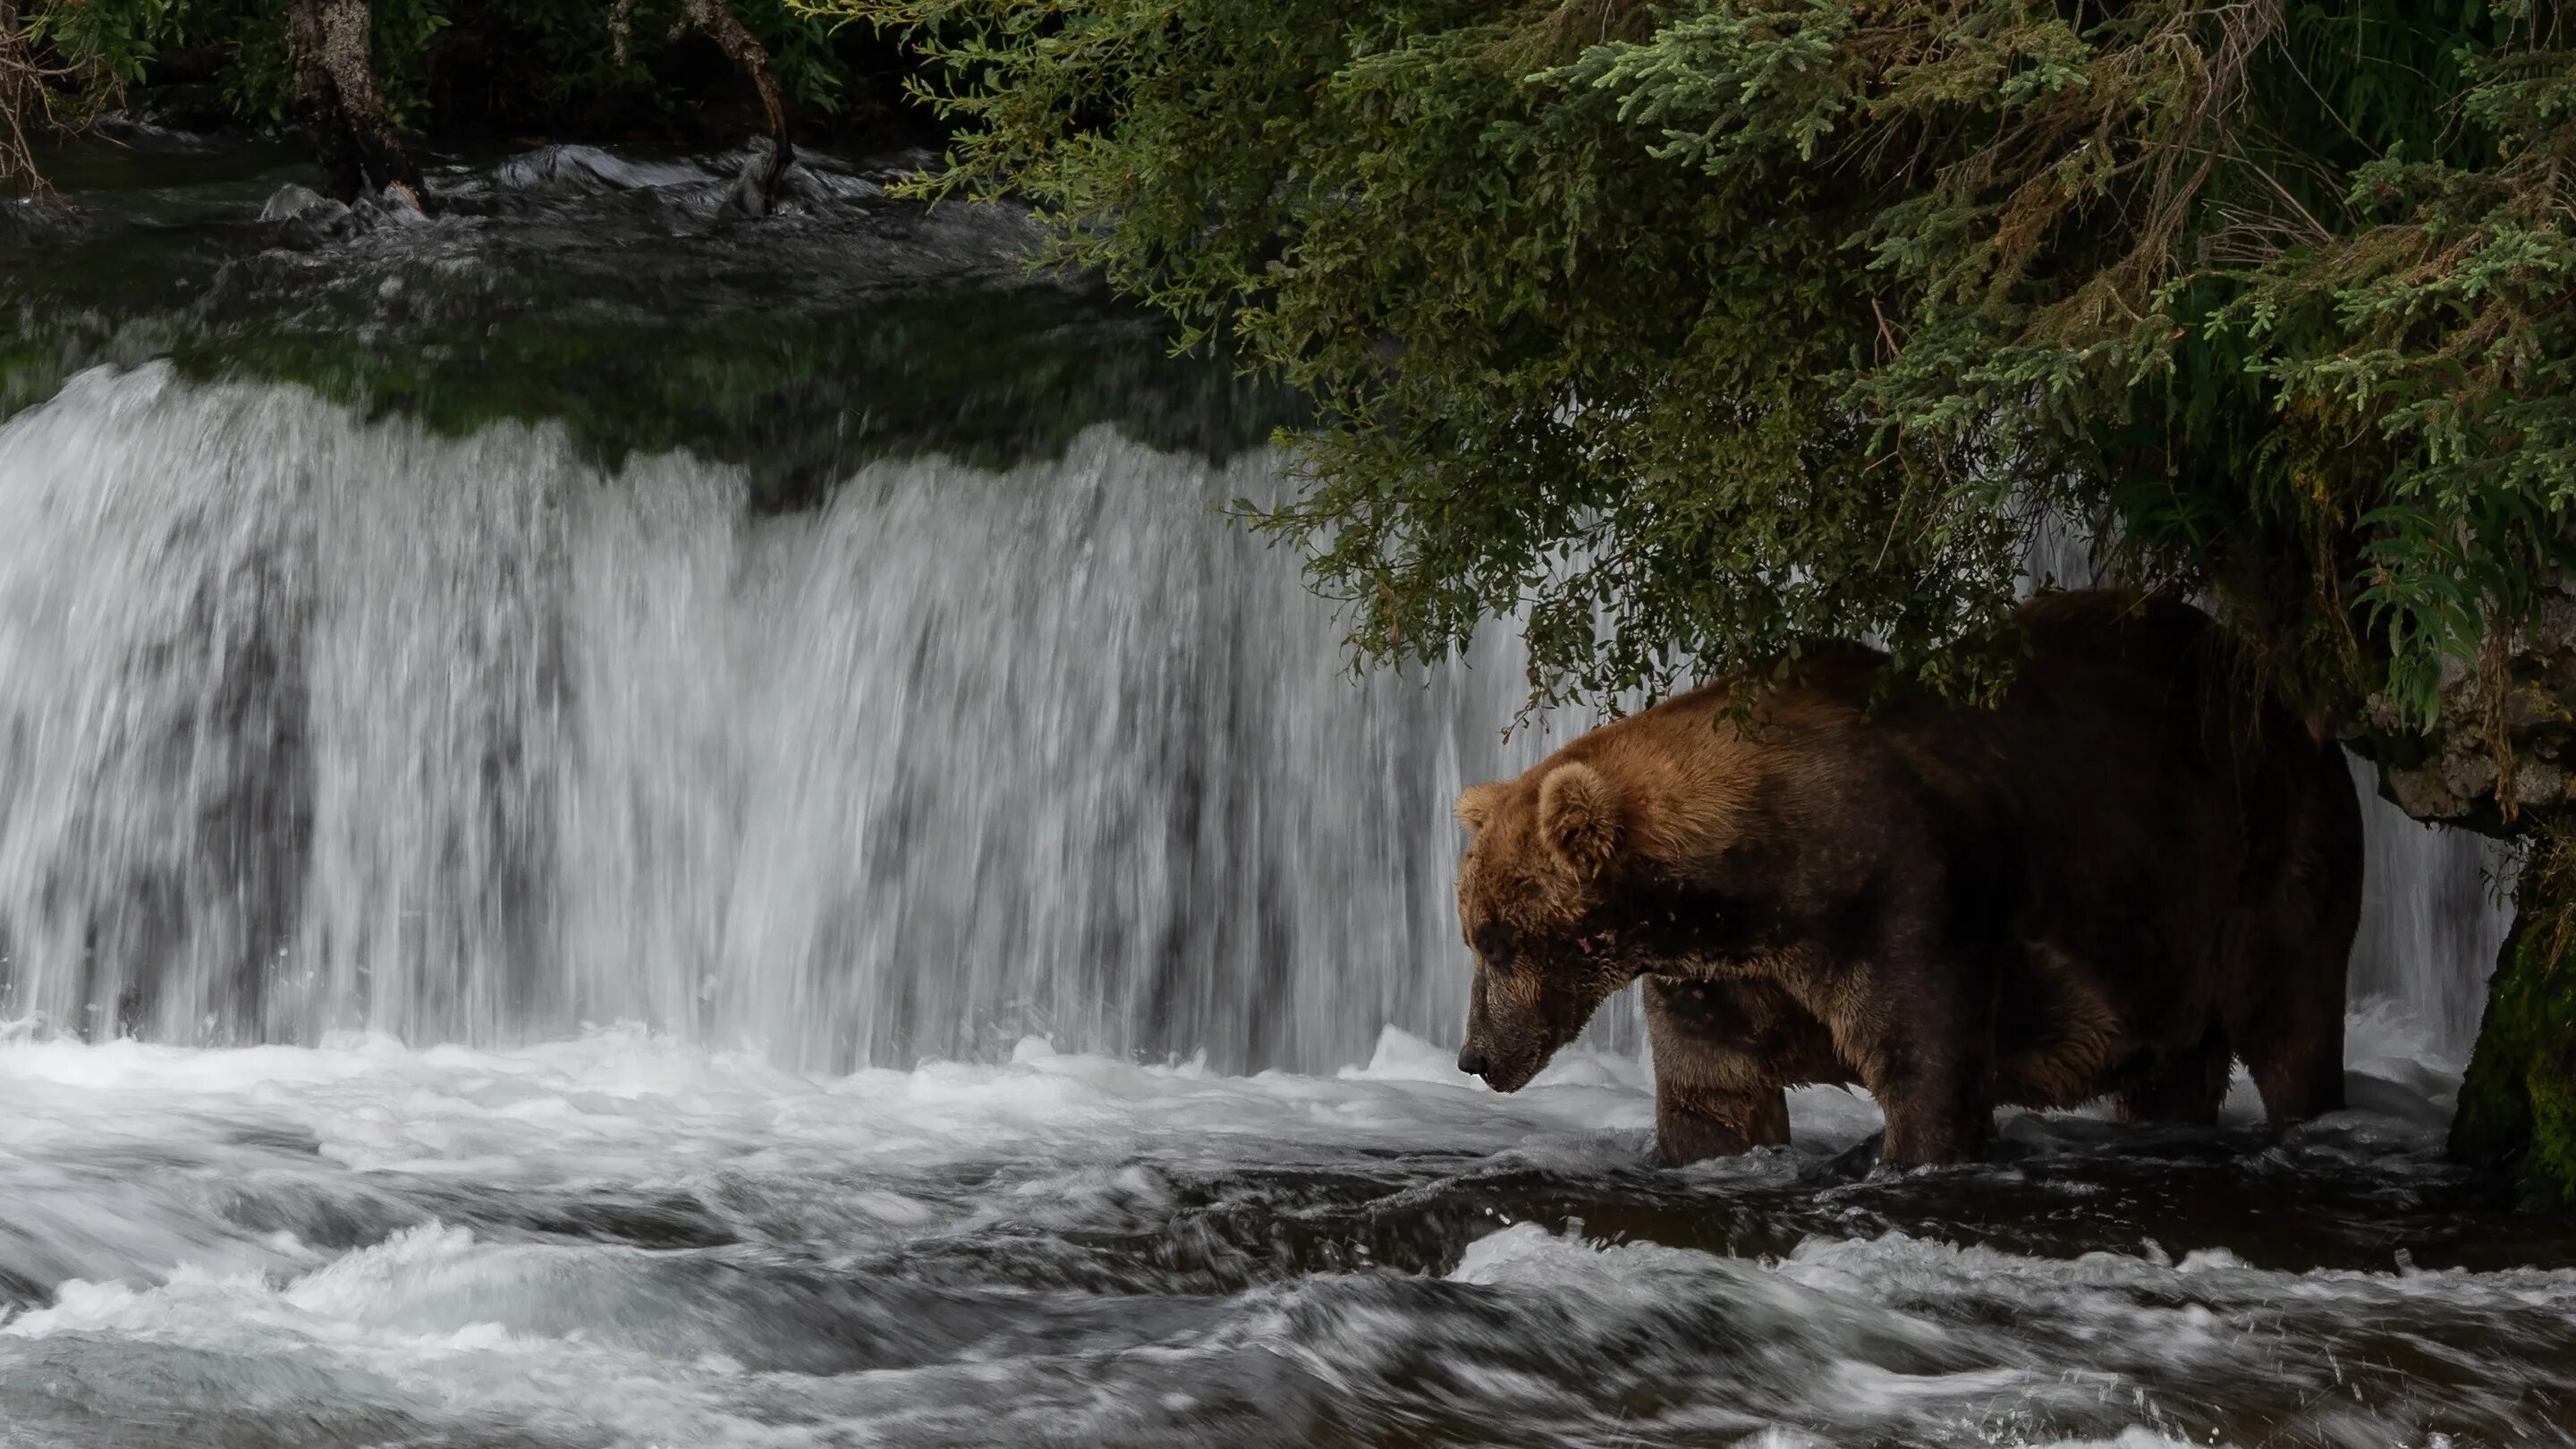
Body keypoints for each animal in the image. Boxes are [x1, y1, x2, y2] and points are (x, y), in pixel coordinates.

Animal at [1453, 588, 2360, 1160]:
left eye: (1494, 939)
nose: (1473, 1055)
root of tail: (2280, 691)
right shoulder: (1714, 975)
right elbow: (1713, 1099)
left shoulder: (1907, 899)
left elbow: (1928, 1076)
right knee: (2173, 1072)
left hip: (2268, 857)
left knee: (2293, 1023)